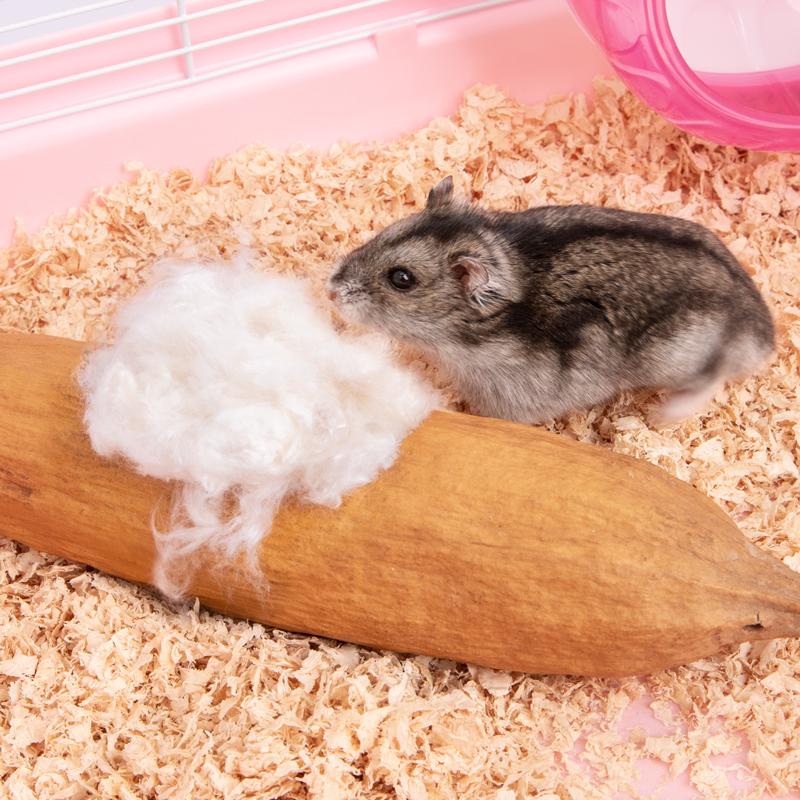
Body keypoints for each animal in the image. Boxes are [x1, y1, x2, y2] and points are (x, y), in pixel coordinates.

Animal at [327, 176, 775, 425]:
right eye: (384, 231)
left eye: (401, 279)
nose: (331, 289)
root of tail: (766, 335)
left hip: (680, 355)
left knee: (711, 380)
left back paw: (661, 417)